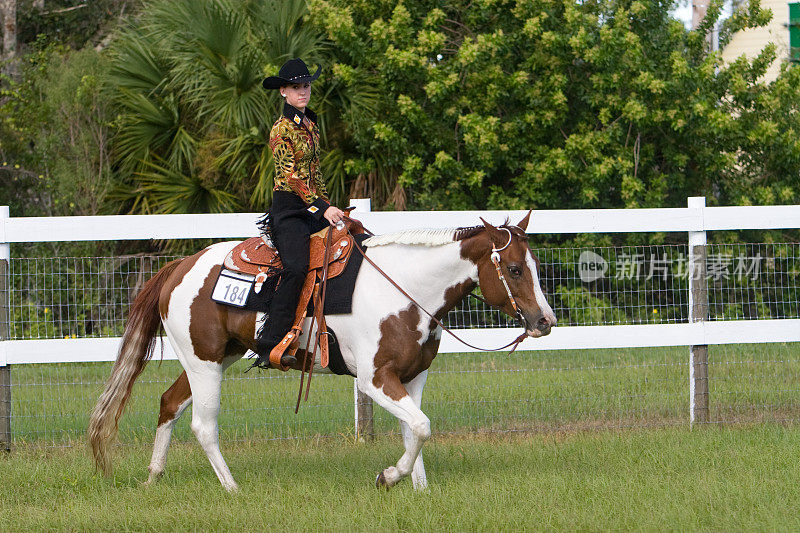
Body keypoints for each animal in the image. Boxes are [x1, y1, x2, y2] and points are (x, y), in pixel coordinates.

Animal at [87, 213, 556, 490]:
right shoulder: (374, 379)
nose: (544, 321)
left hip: (212, 359)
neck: (405, 289)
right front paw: (389, 477)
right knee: (203, 425)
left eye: (533, 266)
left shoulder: (414, 377)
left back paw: (153, 477)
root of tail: (179, 266)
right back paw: (232, 488)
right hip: (205, 364)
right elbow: (421, 426)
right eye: (515, 269)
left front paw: (418, 489)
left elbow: (415, 429)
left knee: (169, 403)